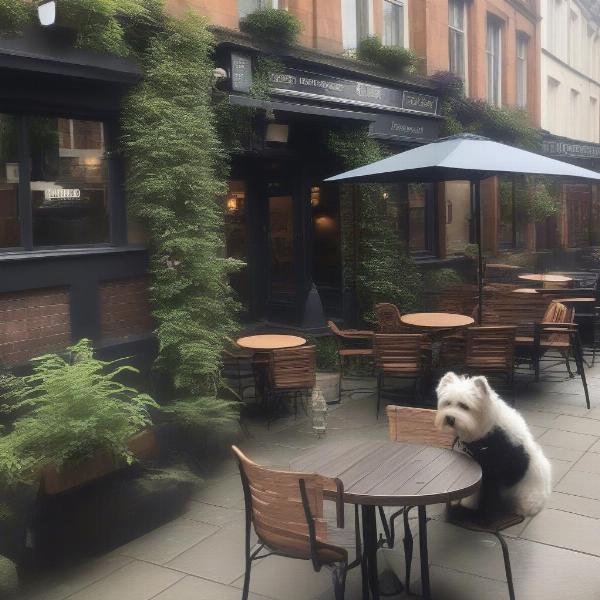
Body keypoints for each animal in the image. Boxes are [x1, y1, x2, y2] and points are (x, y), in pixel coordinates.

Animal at [434, 372, 552, 516]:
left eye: (464, 406)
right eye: (448, 403)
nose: (450, 418)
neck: (487, 429)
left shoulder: (486, 469)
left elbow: (475, 490)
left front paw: (468, 504)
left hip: (526, 495)